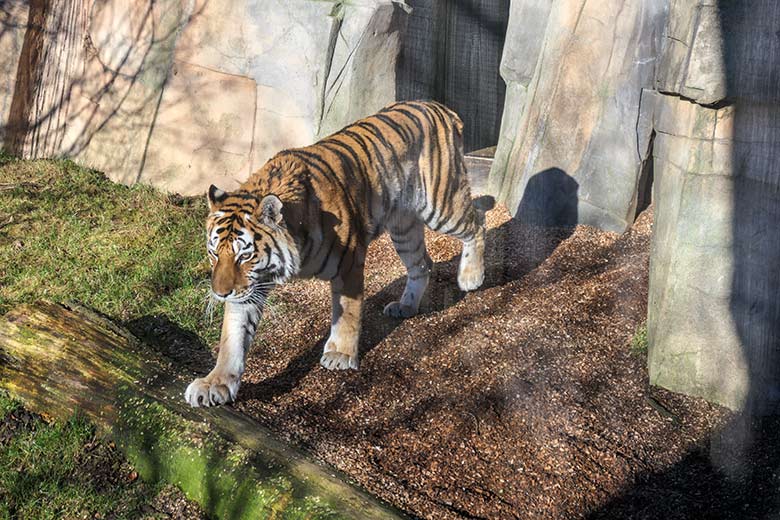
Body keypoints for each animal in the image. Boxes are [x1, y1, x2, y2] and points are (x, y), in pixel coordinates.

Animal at [184, 100, 494, 406]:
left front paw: (340, 355)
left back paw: (471, 277)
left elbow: (347, 314)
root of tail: (440, 107)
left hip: (441, 204)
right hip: (404, 227)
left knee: (478, 220)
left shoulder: (349, 263)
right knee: (422, 264)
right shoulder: (250, 288)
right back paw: (405, 306)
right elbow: (233, 336)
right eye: (214, 253)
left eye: (244, 256)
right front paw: (215, 383)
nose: (220, 293)